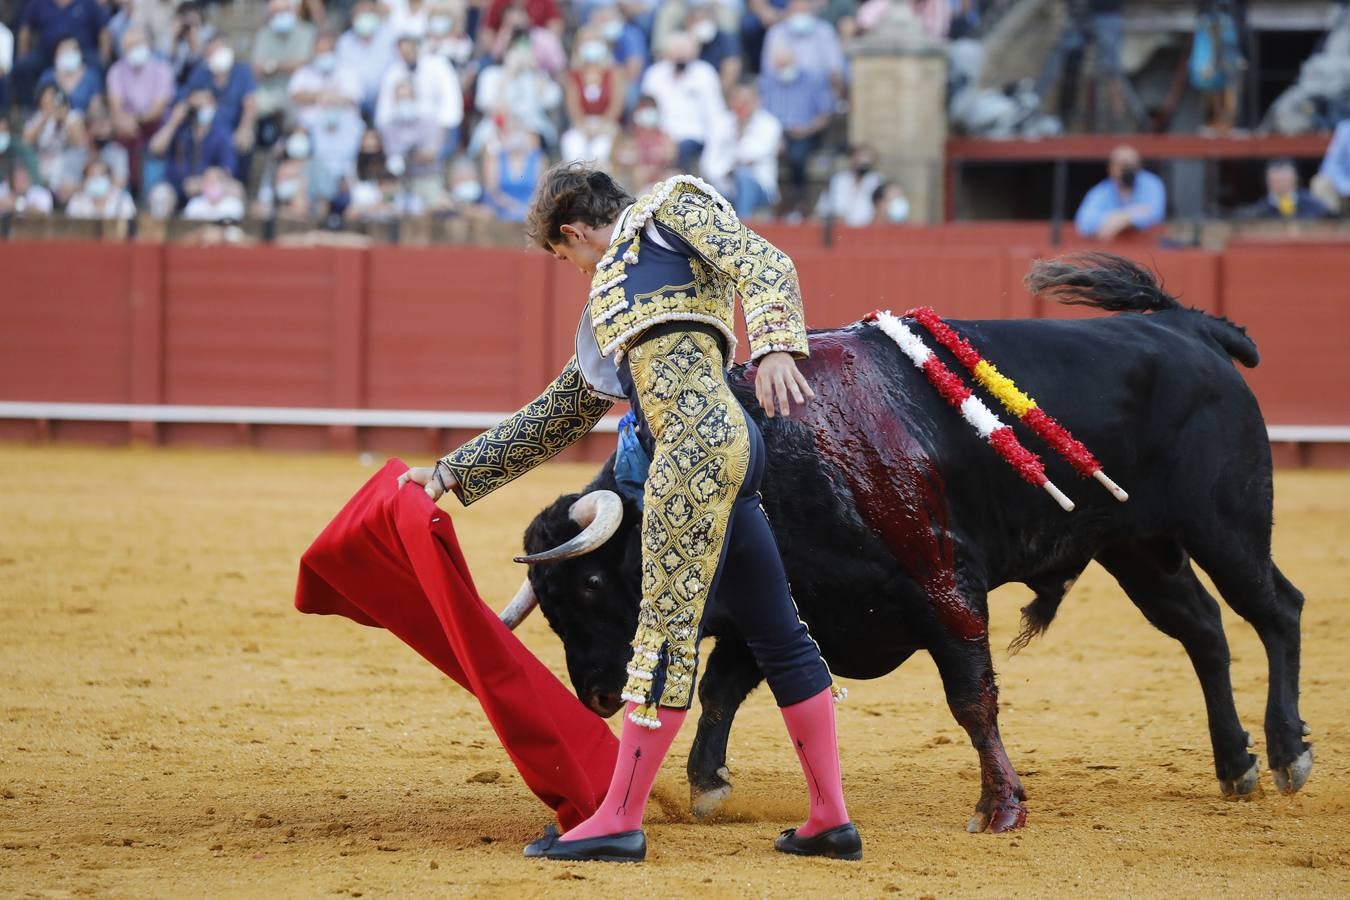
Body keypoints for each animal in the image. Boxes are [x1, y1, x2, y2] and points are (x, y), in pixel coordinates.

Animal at [513, 256, 1306, 836]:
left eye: (591, 585)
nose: (596, 694)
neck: (777, 450)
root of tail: (1187, 330)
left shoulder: (944, 586)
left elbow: (971, 697)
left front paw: (1000, 808)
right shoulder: (790, 603)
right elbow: (728, 685)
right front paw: (709, 786)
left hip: (1227, 527)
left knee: (1277, 611)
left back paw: (1288, 753)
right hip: (1140, 548)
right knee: (1203, 630)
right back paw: (1236, 764)